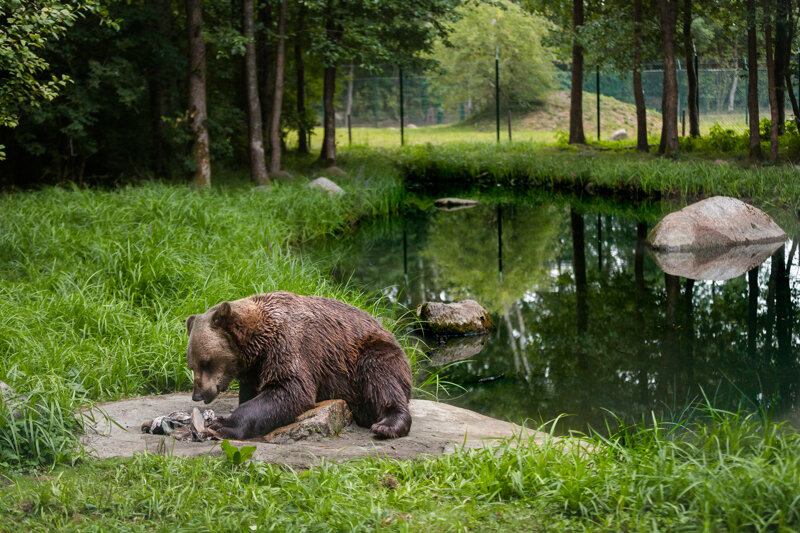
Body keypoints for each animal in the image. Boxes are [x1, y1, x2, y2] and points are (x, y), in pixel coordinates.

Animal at [185, 291, 412, 440]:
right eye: (191, 365)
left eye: (206, 362)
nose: (198, 394)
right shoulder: (255, 367)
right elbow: (254, 391)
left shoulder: (291, 344)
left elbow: (291, 389)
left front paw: (223, 424)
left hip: (368, 354)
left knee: (380, 378)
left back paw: (387, 425)